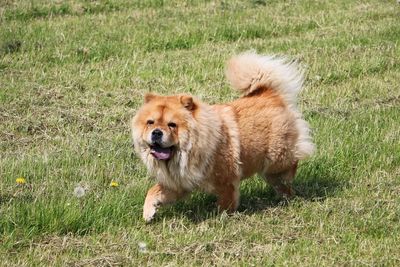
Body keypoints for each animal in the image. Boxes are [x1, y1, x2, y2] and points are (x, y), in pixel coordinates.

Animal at [131, 51, 316, 222]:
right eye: (150, 122)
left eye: (172, 125)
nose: (156, 132)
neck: (189, 151)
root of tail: (268, 93)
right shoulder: (179, 182)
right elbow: (154, 191)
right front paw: (148, 212)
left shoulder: (226, 178)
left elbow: (227, 199)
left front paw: (221, 216)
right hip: (269, 171)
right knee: (282, 186)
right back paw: (286, 198)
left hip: (276, 159)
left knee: (291, 163)